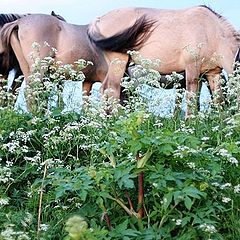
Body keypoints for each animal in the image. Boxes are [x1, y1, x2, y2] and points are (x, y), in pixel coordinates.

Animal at [87, 4, 240, 115]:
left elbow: (218, 99)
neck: (211, 32)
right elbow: (191, 97)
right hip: (118, 63)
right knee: (112, 89)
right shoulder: (192, 69)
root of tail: (99, 20)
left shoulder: (213, 73)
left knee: (106, 89)